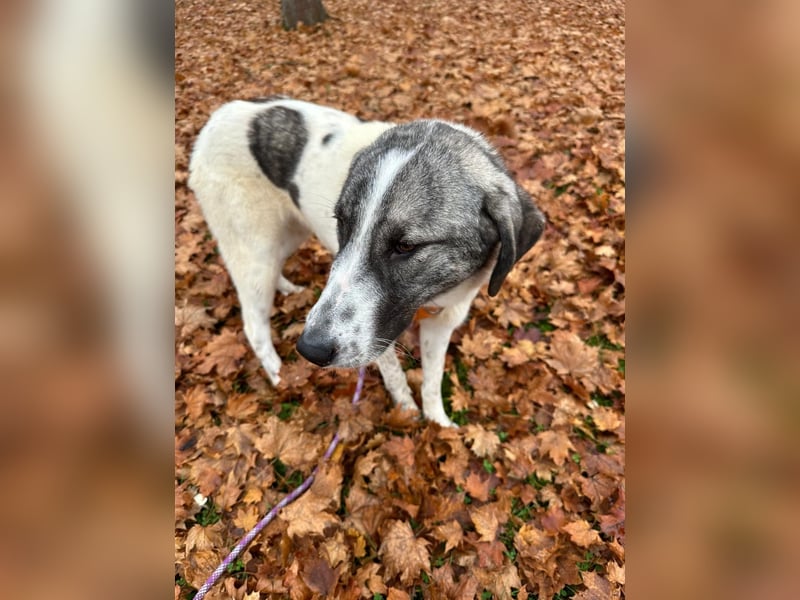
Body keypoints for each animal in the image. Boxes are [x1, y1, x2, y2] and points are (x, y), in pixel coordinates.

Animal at [188, 98, 544, 426]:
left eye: (405, 246)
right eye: (343, 223)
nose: (310, 349)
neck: (431, 297)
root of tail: (217, 116)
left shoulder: (441, 323)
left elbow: (432, 381)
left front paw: (438, 423)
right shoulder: (377, 337)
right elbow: (396, 377)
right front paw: (407, 413)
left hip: (290, 233)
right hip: (254, 253)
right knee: (254, 325)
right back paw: (279, 375)